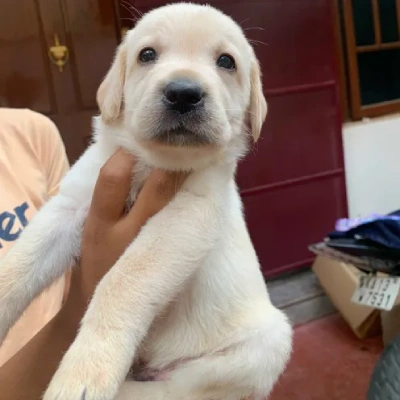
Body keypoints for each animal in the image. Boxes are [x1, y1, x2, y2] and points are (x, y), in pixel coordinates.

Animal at [0, 3, 292, 400]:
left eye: (226, 62)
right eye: (147, 55)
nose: (183, 93)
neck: (153, 163)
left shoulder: (187, 217)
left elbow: (122, 281)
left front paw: (85, 372)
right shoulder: (72, 202)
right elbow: (18, 265)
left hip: (266, 342)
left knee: (177, 390)